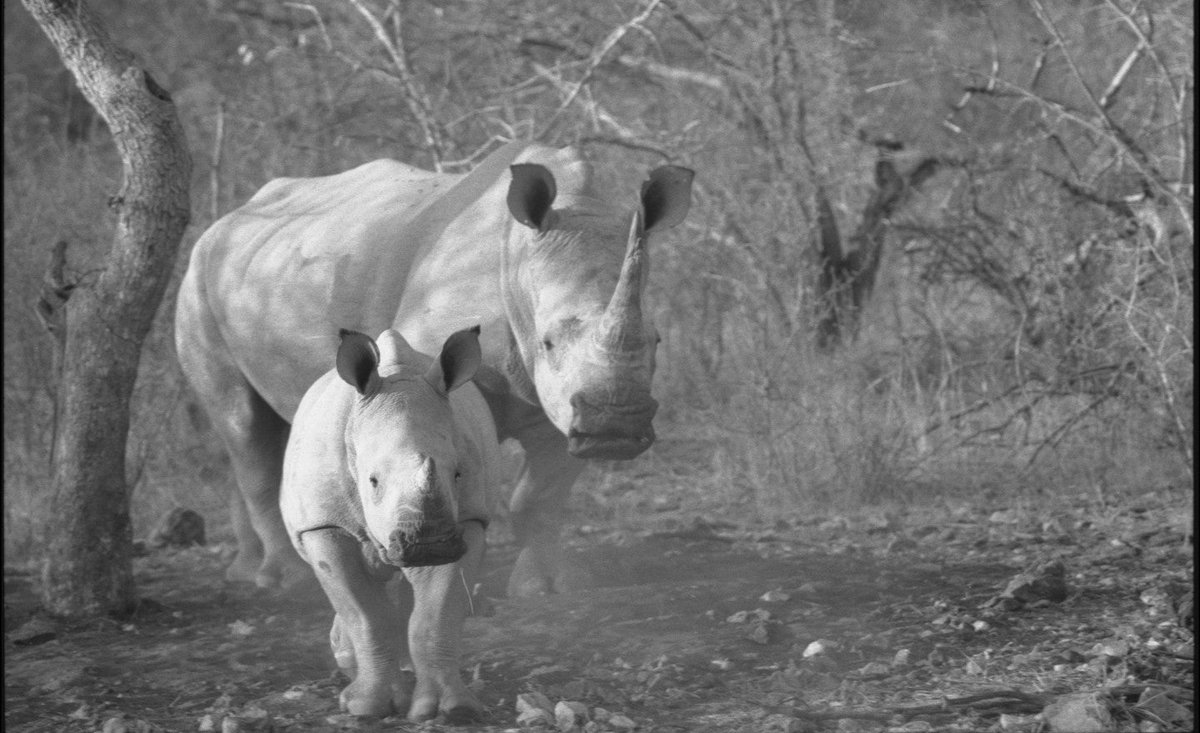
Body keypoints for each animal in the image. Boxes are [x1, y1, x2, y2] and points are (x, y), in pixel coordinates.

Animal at [174, 141, 693, 595]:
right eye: (547, 343)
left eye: (657, 341)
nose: (616, 424)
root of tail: (226, 219)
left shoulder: (566, 404)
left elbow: (540, 495)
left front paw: (546, 588)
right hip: (196, 280)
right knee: (242, 422)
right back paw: (286, 583)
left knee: (264, 427)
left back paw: (246, 572)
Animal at [280, 326, 497, 720]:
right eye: (373, 481)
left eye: (457, 474)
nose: (429, 544)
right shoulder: (324, 525)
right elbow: (365, 615)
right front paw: (365, 708)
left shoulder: (468, 519)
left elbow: (436, 615)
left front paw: (448, 709)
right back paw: (348, 665)